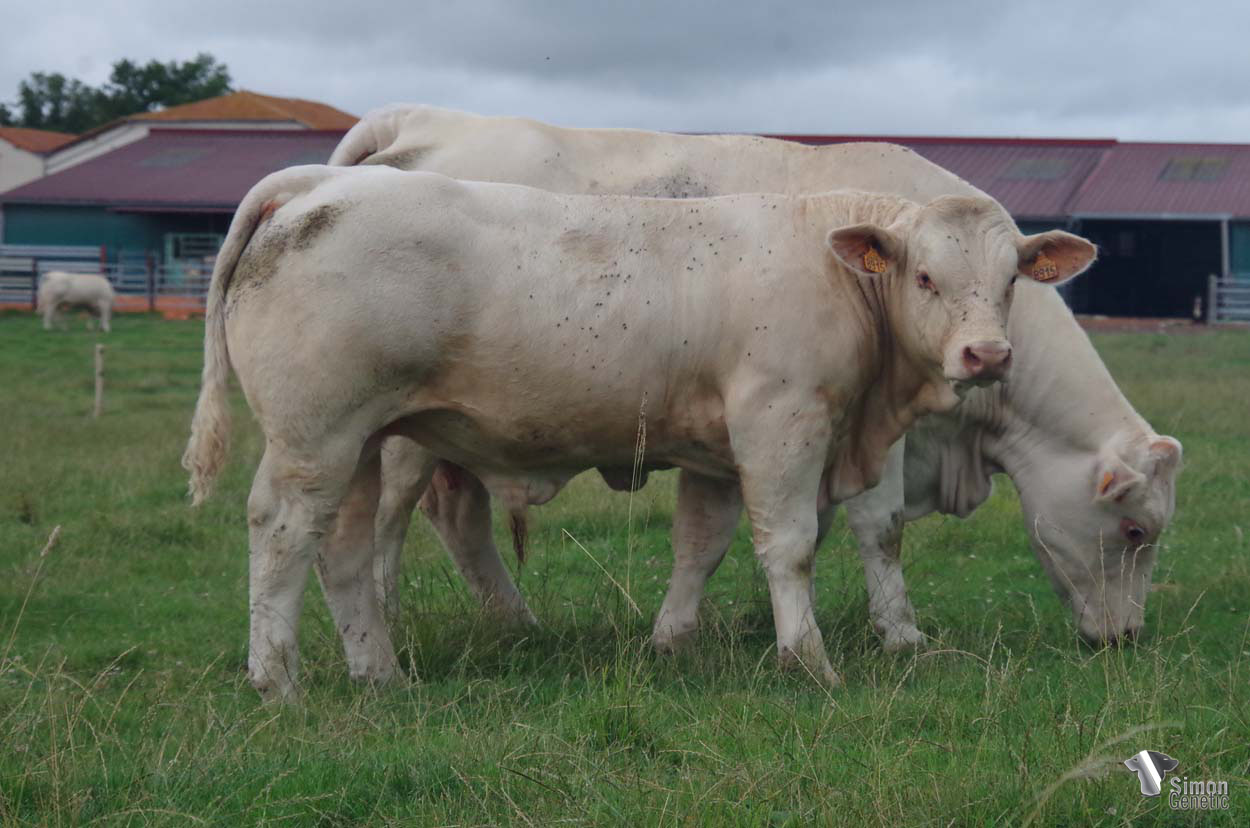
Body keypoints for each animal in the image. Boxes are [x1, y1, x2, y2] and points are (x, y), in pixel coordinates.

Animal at [182, 163, 1092, 700]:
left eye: (1011, 280)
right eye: (927, 276)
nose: (987, 354)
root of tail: (318, 184)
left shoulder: (720, 451)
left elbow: (702, 543)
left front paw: (671, 641)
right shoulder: (781, 422)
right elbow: (790, 546)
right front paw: (808, 658)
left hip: (365, 439)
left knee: (341, 548)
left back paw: (379, 674)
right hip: (315, 437)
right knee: (283, 534)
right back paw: (277, 679)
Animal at [335, 105, 1181, 649]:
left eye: (1010, 281)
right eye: (1135, 531)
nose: (1126, 637)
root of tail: (419, 120)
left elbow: (759, 532)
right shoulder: (878, 432)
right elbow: (879, 529)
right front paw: (900, 634)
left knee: (457, 517)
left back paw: (514, 623)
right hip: (400, 430)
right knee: (388, 521)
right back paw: (388, 623)